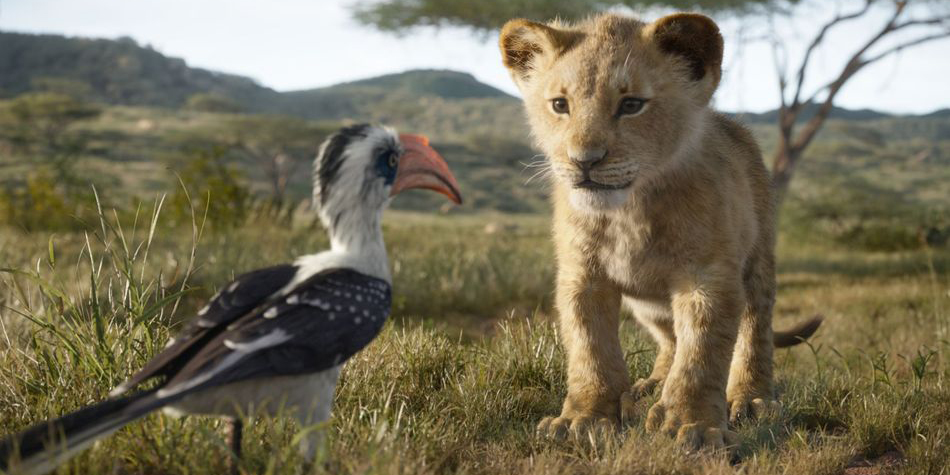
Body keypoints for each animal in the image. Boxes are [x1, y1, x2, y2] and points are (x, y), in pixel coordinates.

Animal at [498, 12, 821, 449]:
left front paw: (693, 425)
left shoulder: (707, 277)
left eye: (631, 104)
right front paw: (584, 419)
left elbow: (701, 353)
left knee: (755, 330)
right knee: (670, 339)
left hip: (757, 263)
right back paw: (649, 386)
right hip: (647, 304)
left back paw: (751, 398)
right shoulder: (582, 276)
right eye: (560, 105)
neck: (629, 211)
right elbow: (590, 348)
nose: (584, 161)